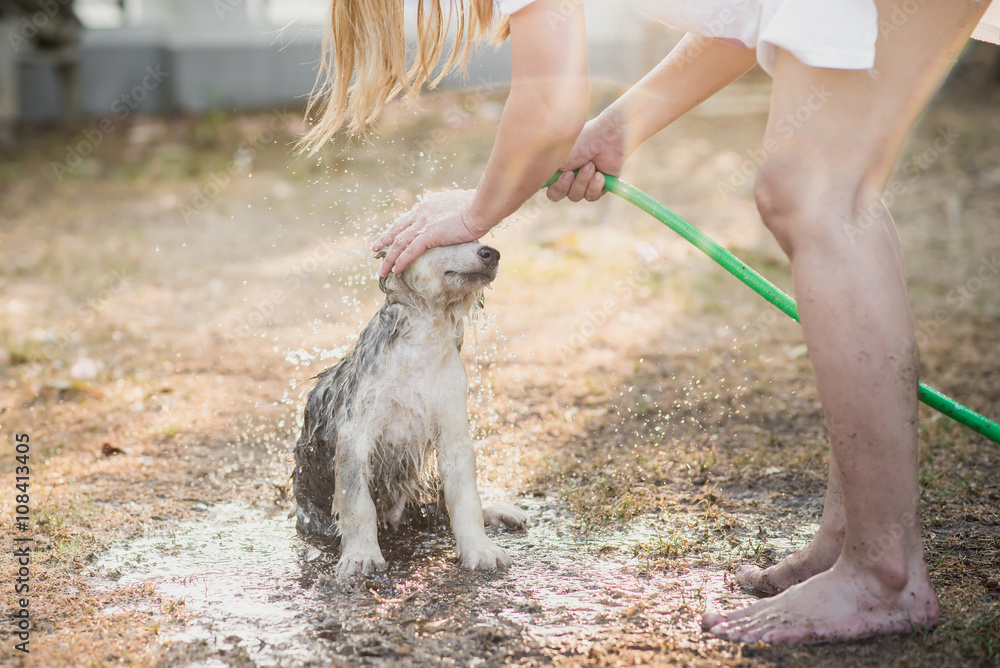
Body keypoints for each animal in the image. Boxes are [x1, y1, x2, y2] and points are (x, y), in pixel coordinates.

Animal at [292, 243, 528, 576]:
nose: (490, 253)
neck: (421, 346)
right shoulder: (354, 436)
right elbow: (357, 503)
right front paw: (361, 555)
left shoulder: (454, 433)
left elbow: (466, 499)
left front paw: (480, 549)